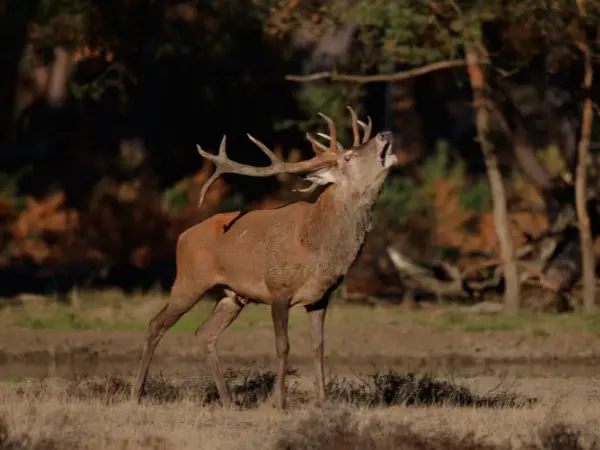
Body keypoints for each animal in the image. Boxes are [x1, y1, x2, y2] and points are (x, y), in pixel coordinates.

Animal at [131, 107, 398, 410]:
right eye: (348, 157)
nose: (385, 133)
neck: (316, 246)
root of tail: (182, 237)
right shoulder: (278, 289)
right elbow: (283, 346)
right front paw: (279, 402)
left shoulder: (321, 296)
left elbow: (318, 346)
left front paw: (322, 401)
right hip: (189, 280)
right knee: (156, 324)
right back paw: (136, 393)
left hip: (233, 295)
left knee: (204, 333)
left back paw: (229, 400)